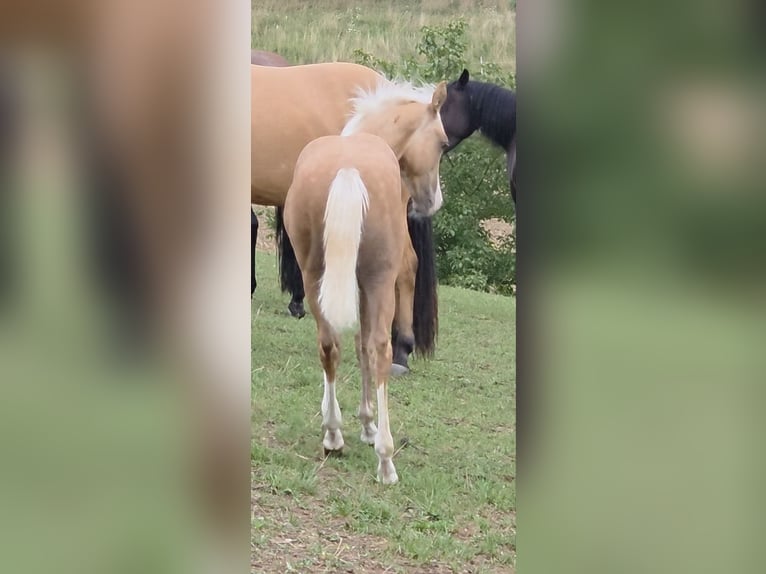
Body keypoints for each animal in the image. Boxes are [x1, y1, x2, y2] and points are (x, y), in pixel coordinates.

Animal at [283, 84, 448, 484]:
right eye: (443, 143)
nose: (432, 201)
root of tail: (348, 166)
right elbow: (366, 347)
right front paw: (370, 426)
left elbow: (354, 346)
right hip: (379, 280)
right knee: (380, 349)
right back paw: (385, 459)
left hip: (315, 276)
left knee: (329, 344)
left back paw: (332, 435)